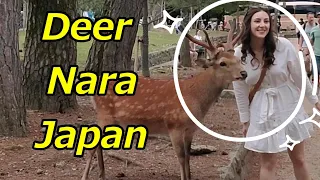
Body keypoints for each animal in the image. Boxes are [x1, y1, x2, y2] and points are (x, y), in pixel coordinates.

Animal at [82, 22, 245, 180]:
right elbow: (181, 158)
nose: (244, 73)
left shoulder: (190, 129)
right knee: (92, 145)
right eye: (222, 63)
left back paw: (102, 174)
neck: (196, 99)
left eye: (238, 59)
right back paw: (86, 176)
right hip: (104, 113)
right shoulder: (174, 125)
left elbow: (188, 157)